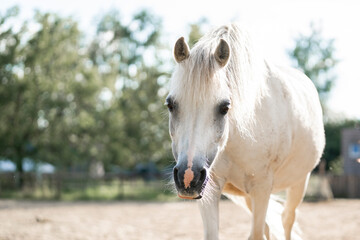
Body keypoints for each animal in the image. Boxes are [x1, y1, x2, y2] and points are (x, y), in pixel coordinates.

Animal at [167, 23, 324, 240]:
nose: (188, 177)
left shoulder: (262, 187)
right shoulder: (211, 190)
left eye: (224, 107)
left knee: (287, 220)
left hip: (299, 183)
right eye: (170, 104)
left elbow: (258, 234)